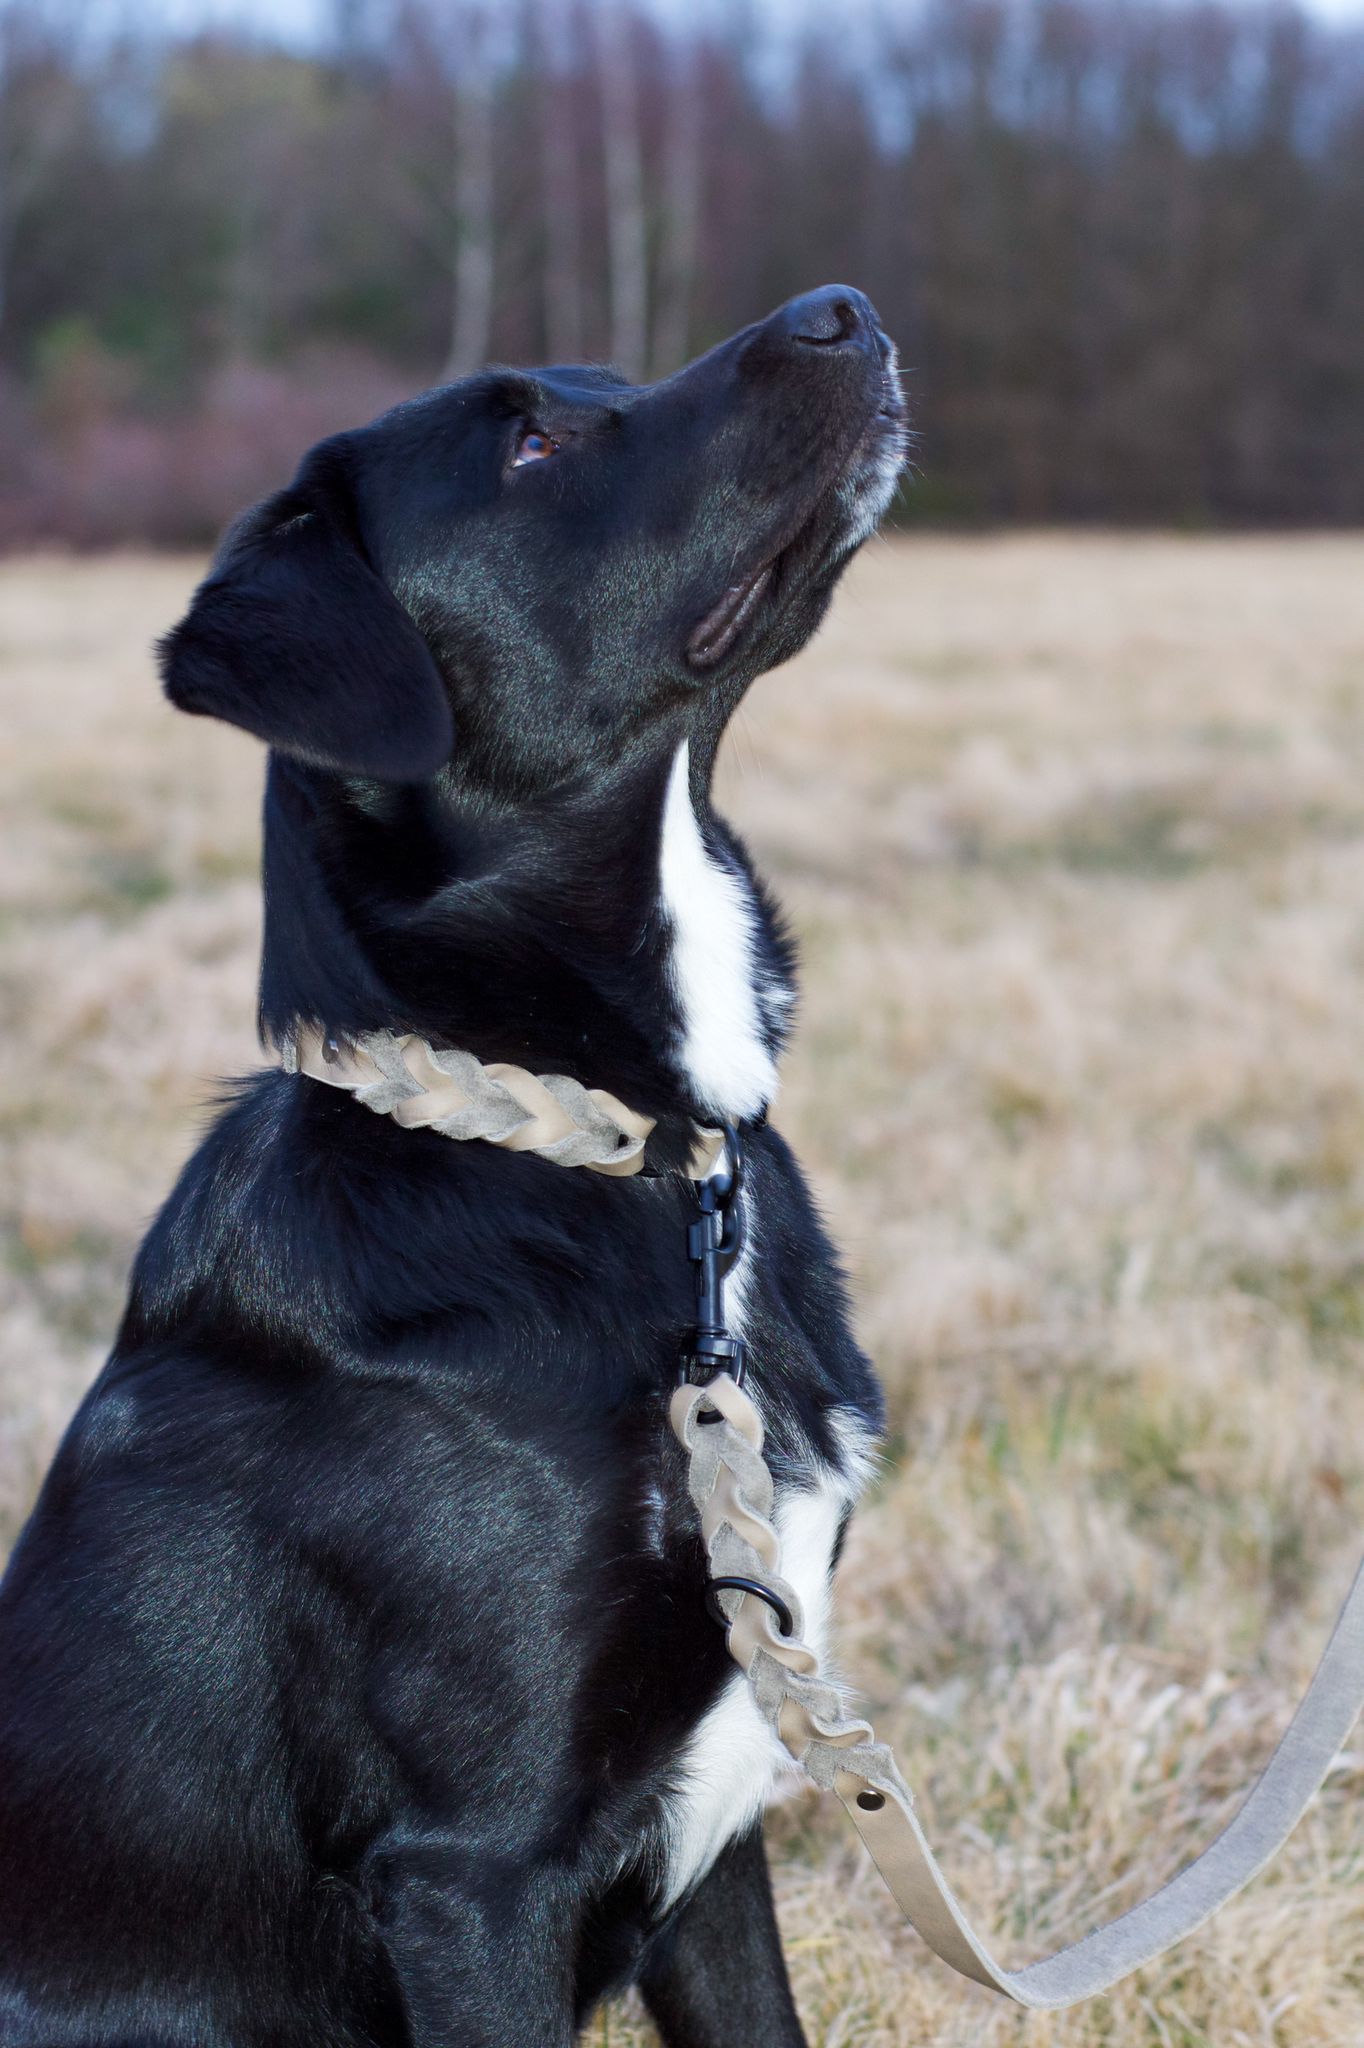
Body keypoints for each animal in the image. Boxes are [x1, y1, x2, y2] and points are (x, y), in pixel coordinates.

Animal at [5, 288, 909, 2048]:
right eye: (532, 444)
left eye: (608, 380)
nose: (842, 310)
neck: (612, 1151)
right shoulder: (472, 1873)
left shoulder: (727, 1798)